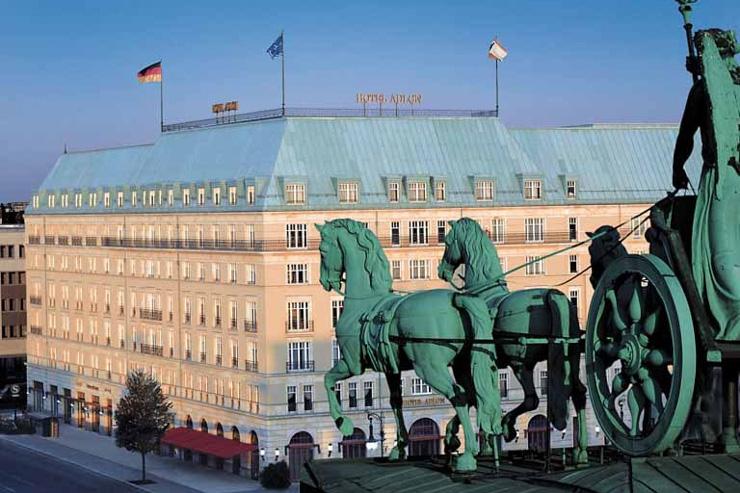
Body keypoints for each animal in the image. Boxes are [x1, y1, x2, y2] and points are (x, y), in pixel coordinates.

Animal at [316, 217, 500, 470]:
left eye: (323, 251)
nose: (325, 282)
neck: (365, 302)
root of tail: (456, 297)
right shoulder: (390, 369)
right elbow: (396, 402)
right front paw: (399, 446)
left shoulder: (352, 364)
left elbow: (327, 380)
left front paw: (343, 422)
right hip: (462, 363)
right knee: (473, 395)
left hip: (429, 367)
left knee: (459, 395)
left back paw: (467, 454)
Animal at [440, 217, 588, 464]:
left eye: (448, 241)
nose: (442, 271)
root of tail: (552, 295)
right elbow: (476, 398)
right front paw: (486, 444)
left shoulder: (469, 365)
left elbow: (471, 397)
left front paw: (456, 437)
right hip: (571, 359)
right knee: (578, 393)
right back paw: (581, 450)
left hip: (520, 364)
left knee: (532, 400)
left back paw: (507, 425)